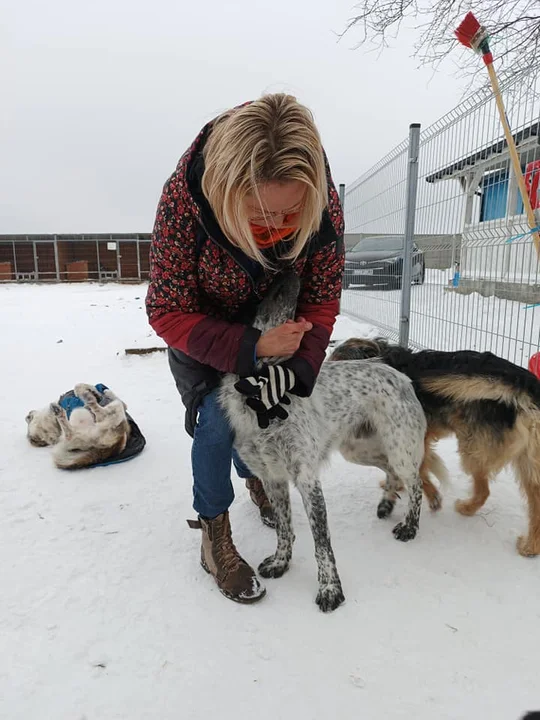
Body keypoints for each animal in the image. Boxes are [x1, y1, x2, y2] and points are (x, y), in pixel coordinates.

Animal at [218, 272, 426, 612]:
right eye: (261, 301)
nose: (290, 272)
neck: (262, 395)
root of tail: (394, 370)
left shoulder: (306, 478)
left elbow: (322, 543)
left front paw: (330, 588)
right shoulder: (272, 478)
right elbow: (284, 528)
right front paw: (281, 562)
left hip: (400, 447)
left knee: (417, 483)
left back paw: (410, 526)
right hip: (359, 448)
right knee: (391, 472)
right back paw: (386, 503)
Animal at [330, 338, 540, 556]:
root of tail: (524, 385)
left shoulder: (415, 437)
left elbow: (419, 473)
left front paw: (430, 498)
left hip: (472, 448)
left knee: (484, 490)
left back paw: (466, 508)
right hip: (526, 459)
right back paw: (530, 546)